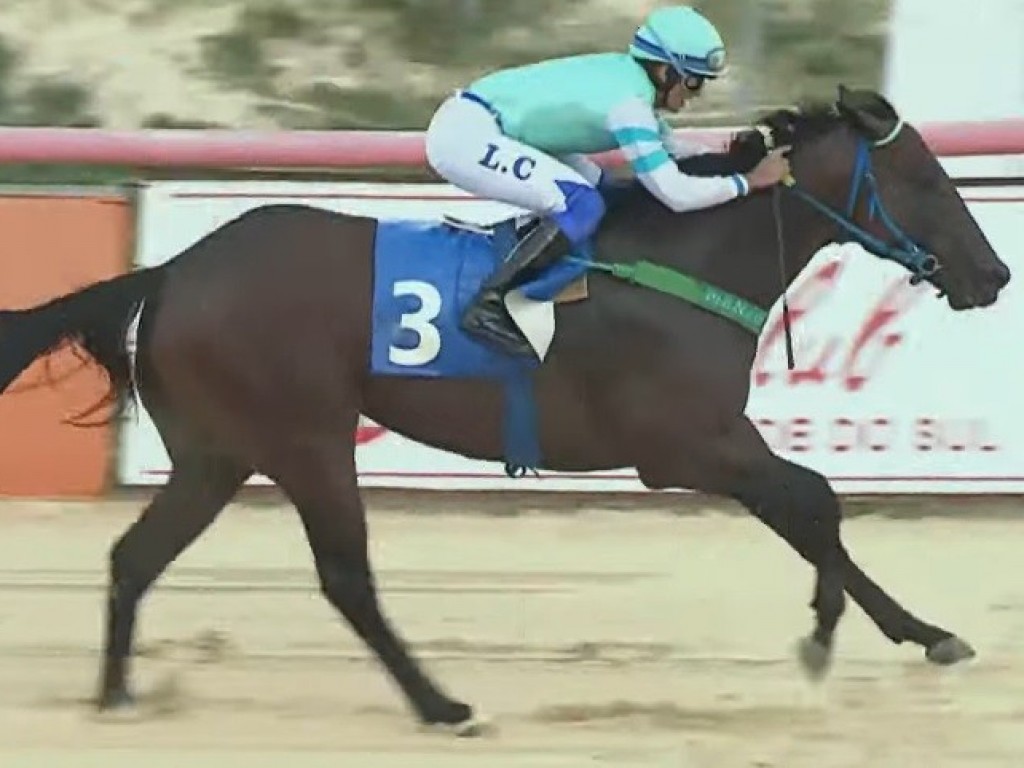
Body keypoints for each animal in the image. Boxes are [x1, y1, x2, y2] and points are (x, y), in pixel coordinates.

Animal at [0, 83, 1007, 733]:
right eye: (925, 182)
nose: (994, 275)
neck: (687, 263)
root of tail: (173, 272)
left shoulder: (711, 444)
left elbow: (812, 508)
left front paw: (909, 635)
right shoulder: (686, 446)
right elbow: (815, 503)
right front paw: (845, 635)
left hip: (218, 452)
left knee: (135, 558)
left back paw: (116, 697)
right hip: (305, 438)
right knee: (345, 578)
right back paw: (443, 706)